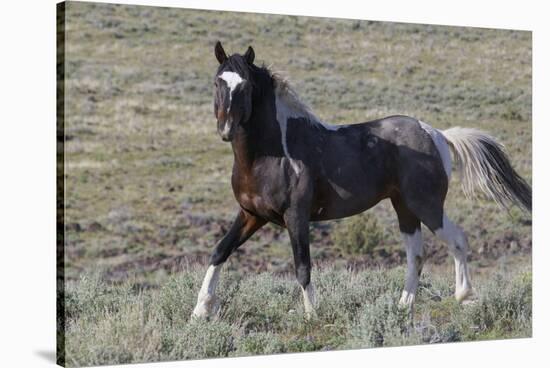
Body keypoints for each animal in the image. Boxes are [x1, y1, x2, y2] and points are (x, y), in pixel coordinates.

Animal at [192, 41, 532, 320]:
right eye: (217, 82)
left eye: (246, 86)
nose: (225, 129)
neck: (270, 155)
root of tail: (436, 134)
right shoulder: (252, 214)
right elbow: (219, 251)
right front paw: (200, 311)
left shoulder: (296, 216)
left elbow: (302, 266)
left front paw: (312, 316)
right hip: (404, 208)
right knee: (416, 255)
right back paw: (402, 308)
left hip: (426, 205)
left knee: (457, 240)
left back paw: (463, 296)